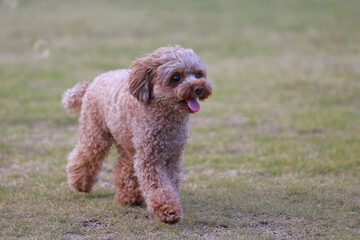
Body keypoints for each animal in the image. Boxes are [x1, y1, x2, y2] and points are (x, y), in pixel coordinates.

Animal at [61, 45, 211, 223]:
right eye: (176, 77)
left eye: (198, 75)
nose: (199, 88)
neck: (165, 114)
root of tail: (92, 83)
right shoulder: (150, 158)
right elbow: (158, 186)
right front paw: (168, 211)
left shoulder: (172, 156)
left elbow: (170, 182)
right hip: (95, 133)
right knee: (85, 155)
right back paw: (80, 184)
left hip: (127, 140)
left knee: (123, 165)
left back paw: (129, 196)